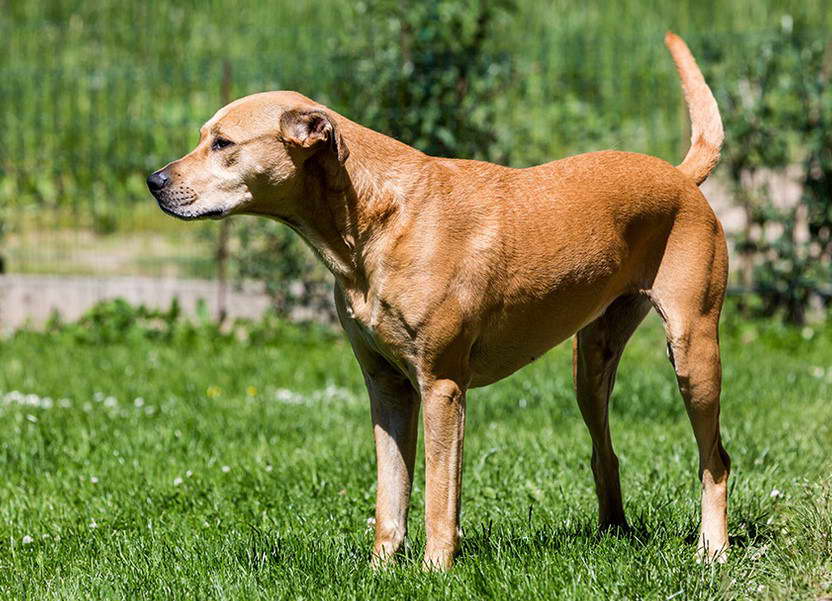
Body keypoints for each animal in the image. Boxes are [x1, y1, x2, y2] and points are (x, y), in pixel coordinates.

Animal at [148, 32, 728, 568]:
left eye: (223, 144)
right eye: (203, 137)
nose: (154, 180)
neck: (374, 219)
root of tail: (680, 176)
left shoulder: (442, 387)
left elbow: (438, 495)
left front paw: (434, 569)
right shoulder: (386, 387)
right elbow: (390, 493)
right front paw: (382, 568)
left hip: (693, 353)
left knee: (715, 459)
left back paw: (713, 550)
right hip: (590, 365)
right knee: (605, 454)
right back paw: (613, 534)